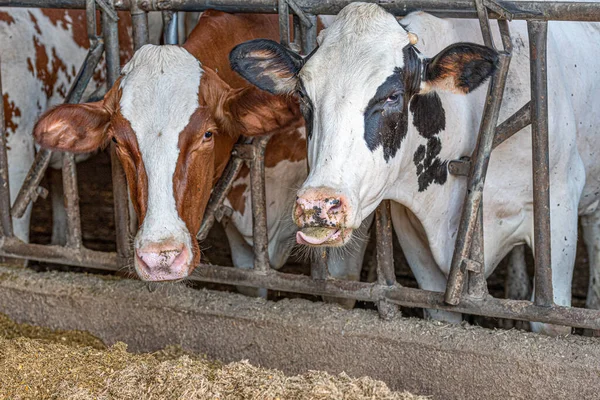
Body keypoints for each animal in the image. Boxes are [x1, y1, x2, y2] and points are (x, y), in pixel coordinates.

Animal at [231, 1, 600, 336]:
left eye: (392, 96)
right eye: (304, 96)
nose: (318, 205)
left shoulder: (558, 212)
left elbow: (549, 321)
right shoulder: (413, 230)